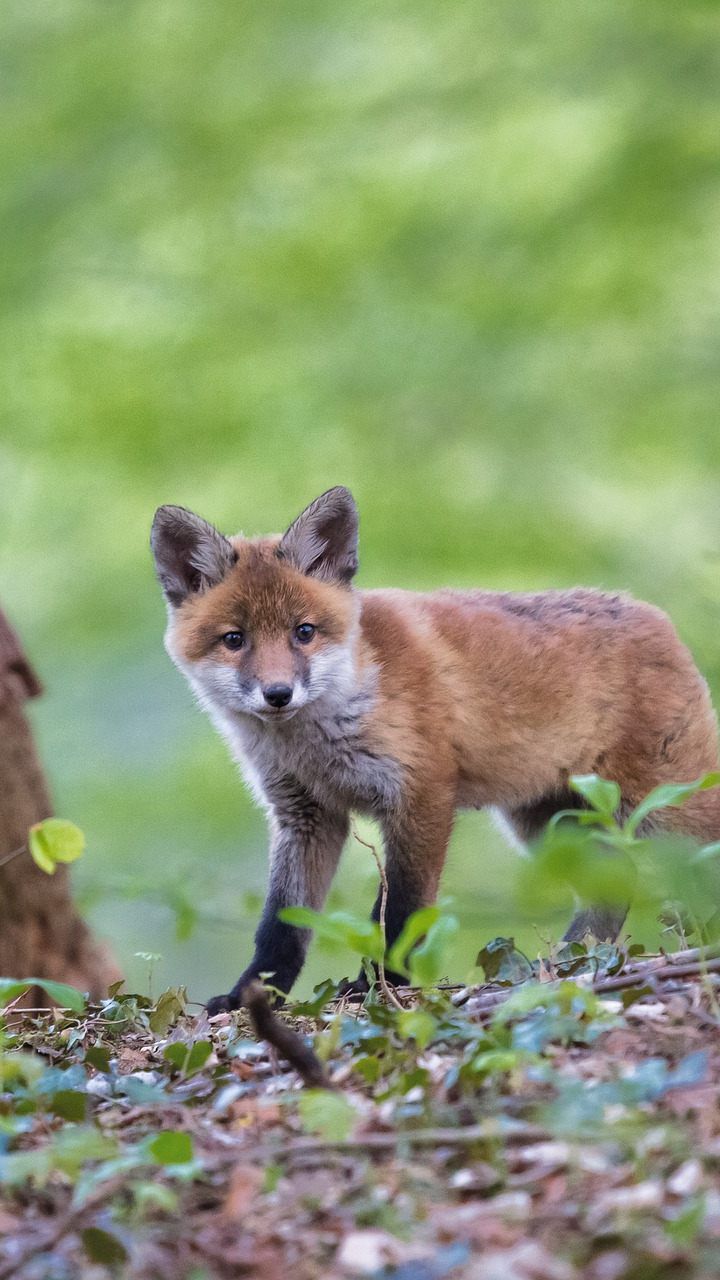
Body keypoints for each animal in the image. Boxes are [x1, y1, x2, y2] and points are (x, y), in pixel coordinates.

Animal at [150, 486, 720, 1014]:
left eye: (303, 632)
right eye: (234, 639)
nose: (278, 694)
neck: (320, 740)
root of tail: (658, 617)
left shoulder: (421, 795)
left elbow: (403, 912)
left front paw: (383, 987)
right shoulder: (305, 815)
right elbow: (281, 925)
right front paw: (251, 994)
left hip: (665, 810)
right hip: (549, 826)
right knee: (613, 890)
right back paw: (567, 965)